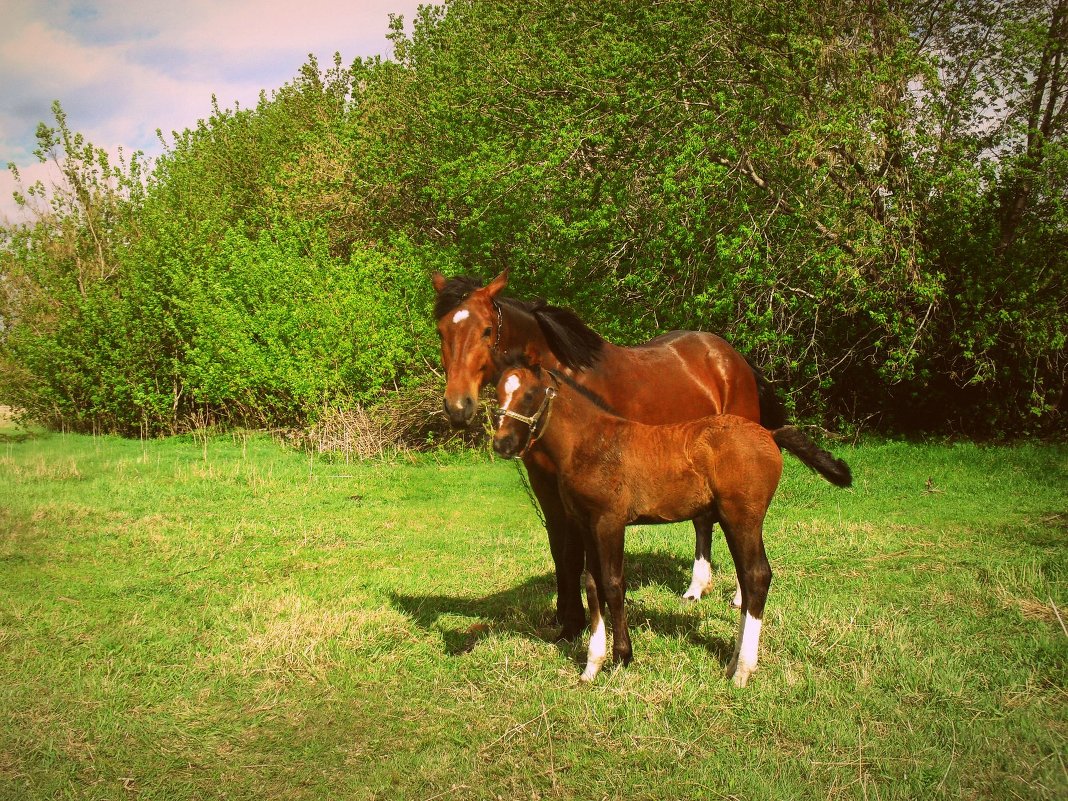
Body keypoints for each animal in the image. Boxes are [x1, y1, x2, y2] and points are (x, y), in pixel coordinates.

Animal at [429, 268, 845, 640]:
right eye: (442, 330)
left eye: (486, 330)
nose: (458, 407)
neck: (566, 382)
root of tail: (731, 357)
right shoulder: (545, 482)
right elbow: (560, 548)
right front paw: (566, 620)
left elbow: (577, 553)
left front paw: (578, 623)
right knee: (703, 522)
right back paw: (696, 588)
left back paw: (738, 596)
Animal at [489, 360, 803, 687]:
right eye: (497, 394)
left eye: (529, 395)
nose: (502, 444)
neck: (591, 442)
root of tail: (770, 434)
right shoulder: (588, 525)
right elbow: (592, 586)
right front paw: (592, 665)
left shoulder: (610, 523)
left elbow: (613, 584)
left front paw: (622, 657)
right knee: (748, 577)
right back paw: (732, 664)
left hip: (742, 518)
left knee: (756, 576)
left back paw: (742, 670)